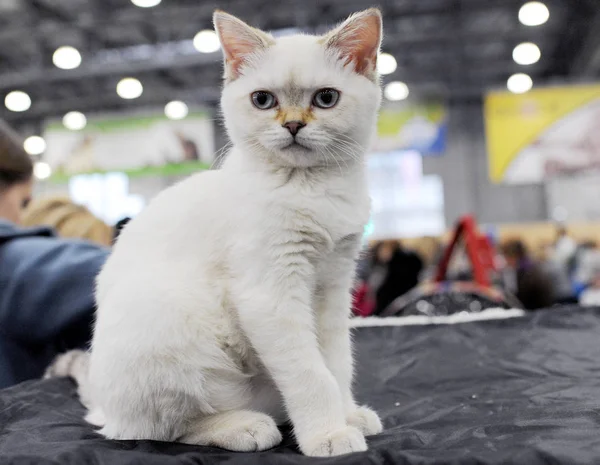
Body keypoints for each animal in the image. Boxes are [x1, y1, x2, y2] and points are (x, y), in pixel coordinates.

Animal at [50, 7, 384, 456]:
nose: (293, 125)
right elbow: (310, 374)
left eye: (325, 98)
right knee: (156, 428)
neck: (313, 188)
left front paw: (346, 416)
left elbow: (337, 364)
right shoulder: (271, 295)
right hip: (172, 328)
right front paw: (328, 435)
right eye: (263, 100)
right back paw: (246, 427)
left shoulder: (333, 290)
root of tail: (103, 403)